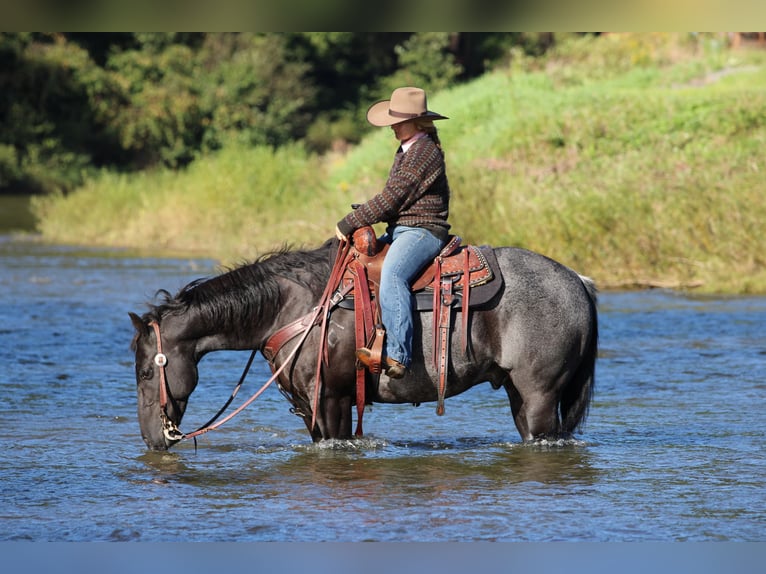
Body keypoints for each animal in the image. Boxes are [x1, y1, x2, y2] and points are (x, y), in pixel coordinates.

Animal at [130, 237, 598, 451]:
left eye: (148, 370)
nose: (153, 439)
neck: (294, 307)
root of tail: (577, 281)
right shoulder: (310, 408)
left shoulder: (333, 401)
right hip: (519, 395)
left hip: (539, 396)